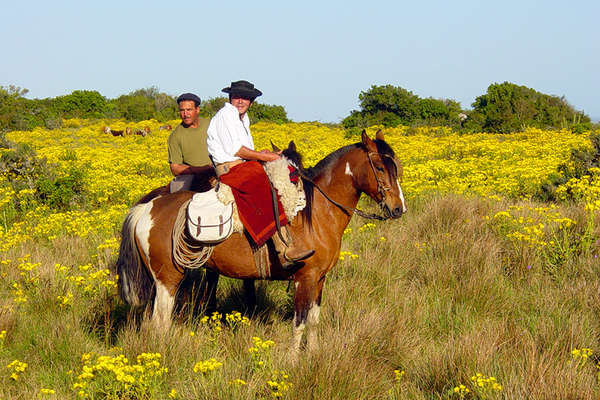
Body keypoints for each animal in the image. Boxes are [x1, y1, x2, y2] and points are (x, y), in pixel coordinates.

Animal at [116, 130, 408, 356]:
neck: (316, 213)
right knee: (160, 321)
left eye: (396, 167)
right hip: (168, 279)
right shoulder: (305, 278)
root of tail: (147, 208)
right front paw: (293, 360)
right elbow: (299, 322)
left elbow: (314, 320)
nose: (398, 208)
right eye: (379, 167)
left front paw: (313, 354)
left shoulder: (320, 279)